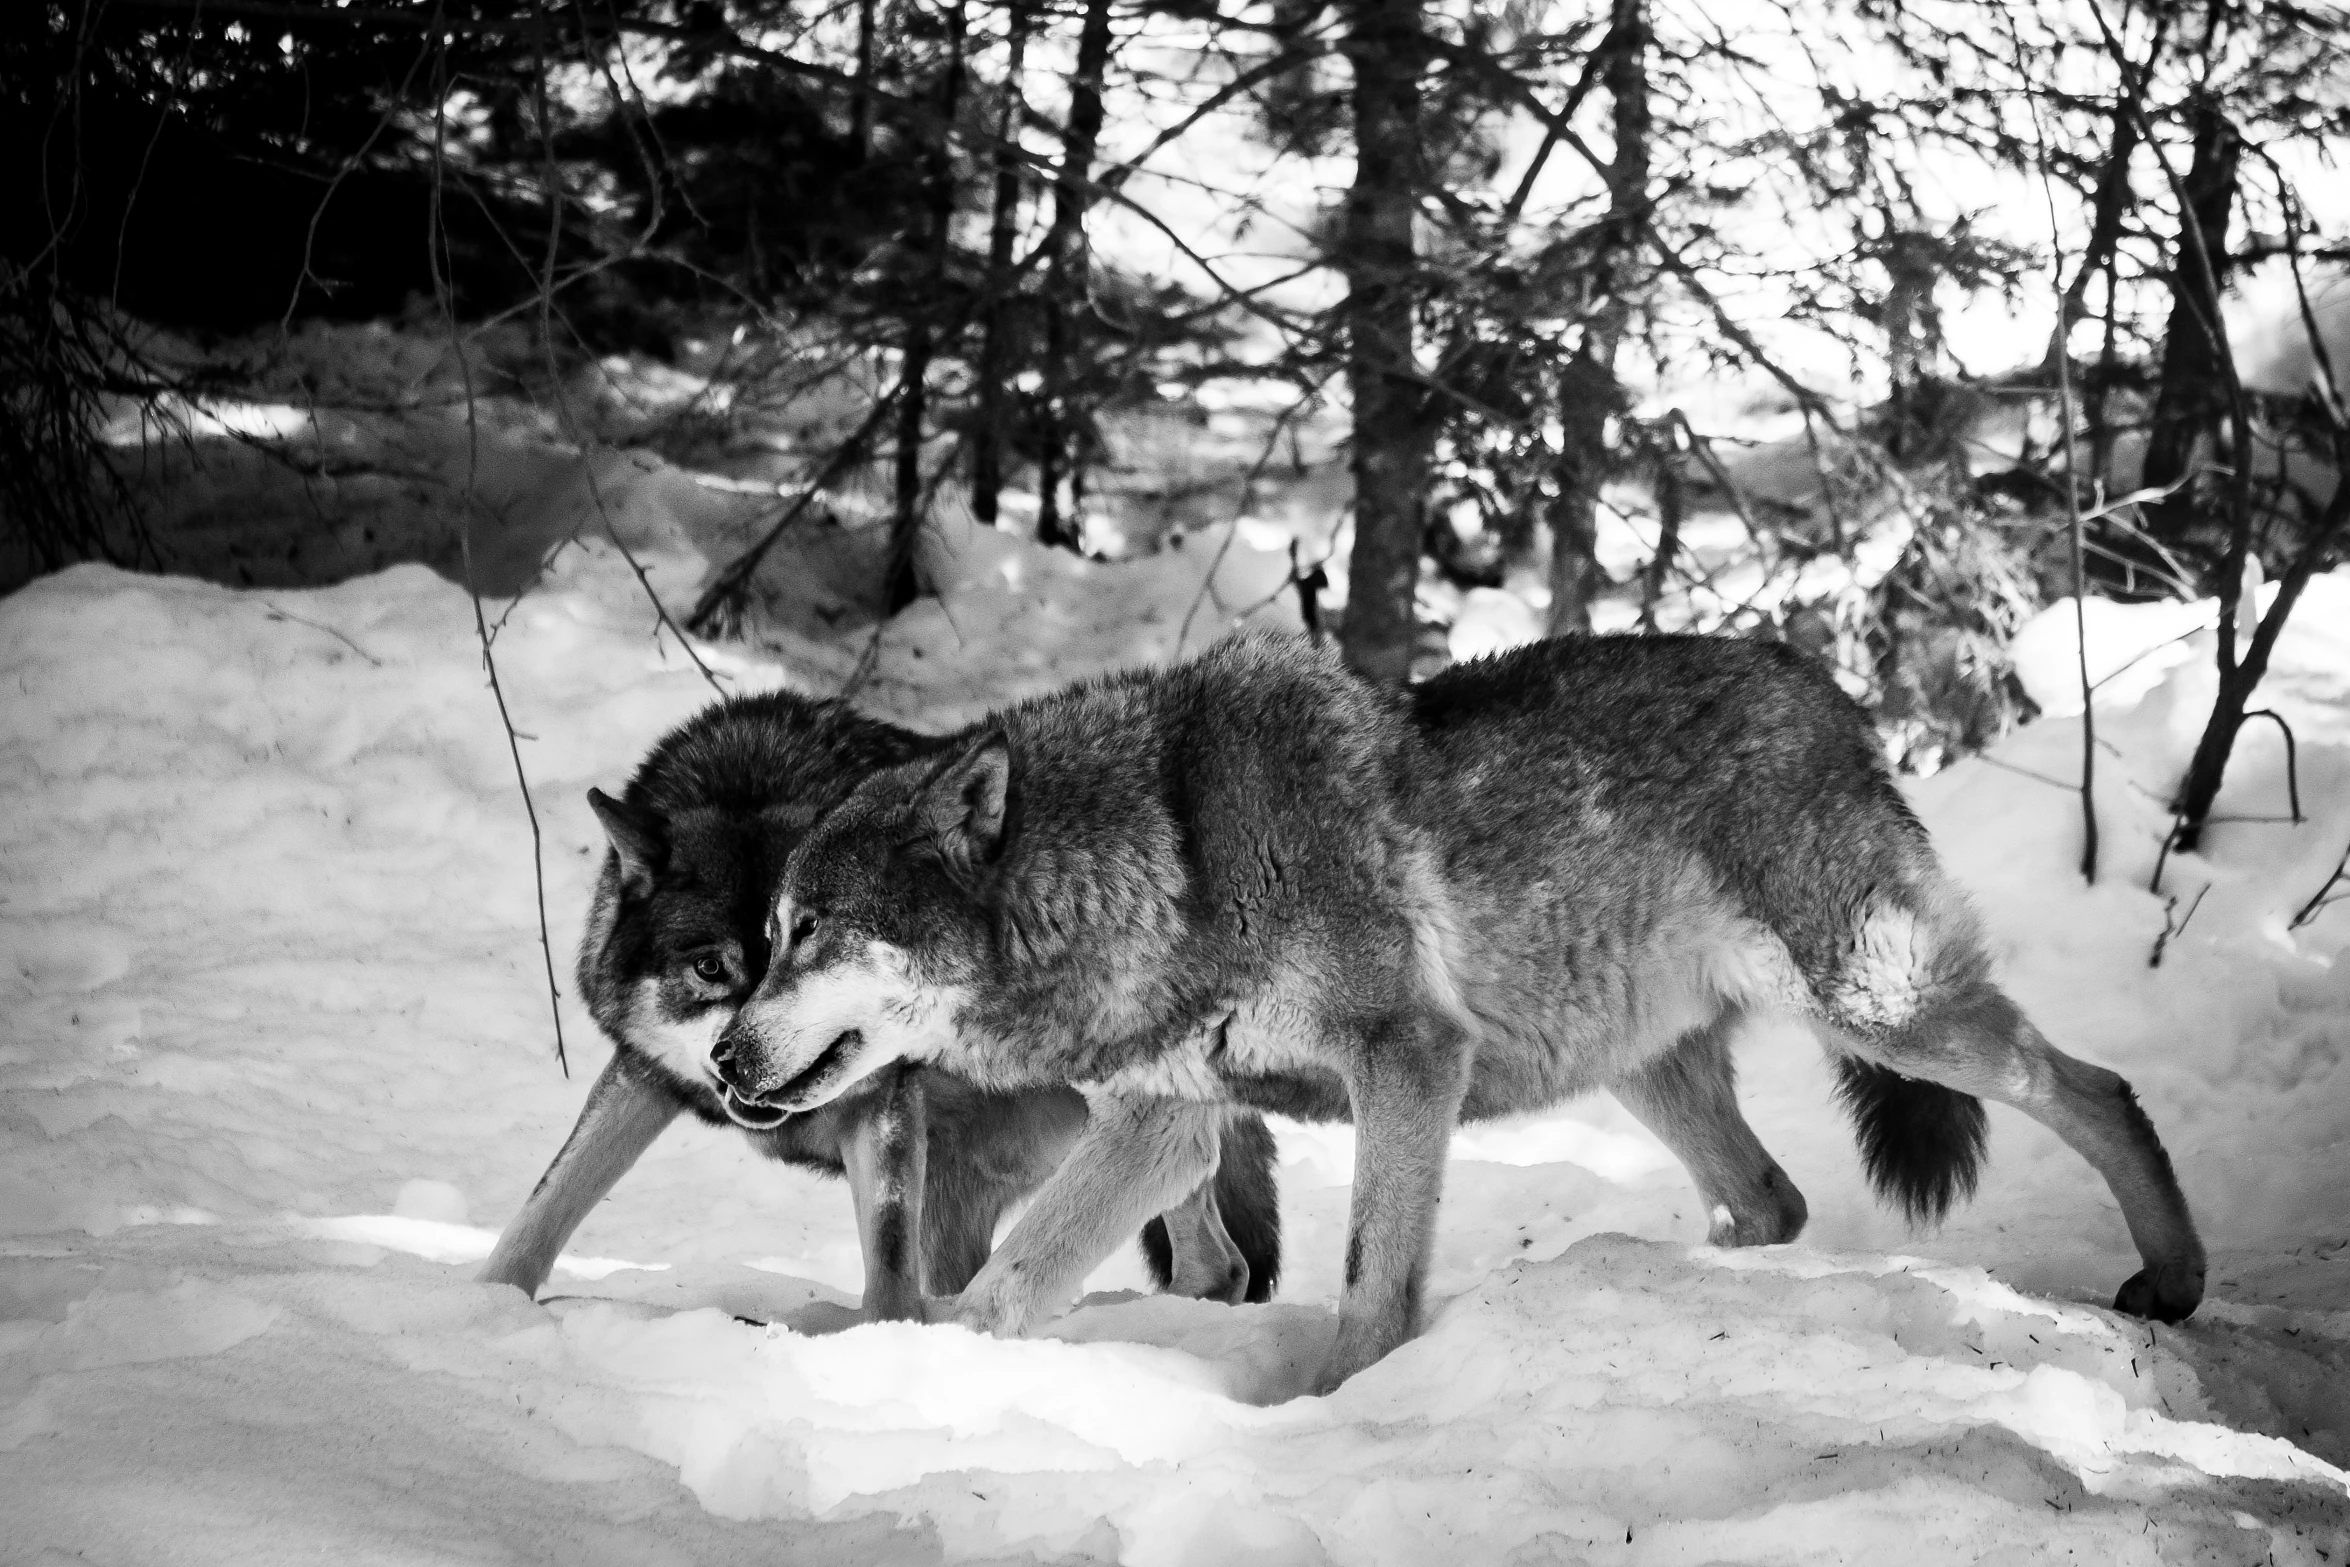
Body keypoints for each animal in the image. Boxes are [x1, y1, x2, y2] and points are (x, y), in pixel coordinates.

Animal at [479, 690, 1287, 1315]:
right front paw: (484, 1307)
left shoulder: (884, 1102)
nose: (739, 1058)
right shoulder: (644, 1073)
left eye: (809, 946)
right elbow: (546, 1205)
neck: (754, 778)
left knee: (1216, 1254)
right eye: (711, 967)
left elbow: (889, 1274)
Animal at [709, 629, 2199, 1390]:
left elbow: (1372, 1280)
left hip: (1874, 1006)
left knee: (2100, 1088)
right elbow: (1009, 1285)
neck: (1174, 848)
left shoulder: (1408, 1060)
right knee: (1772, 1198)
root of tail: (1824, 684)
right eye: (766, 936)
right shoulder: (1169, 1122)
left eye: (813, 933)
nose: (721, 1055)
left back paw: (2173, 1282)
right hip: (1643, 1064)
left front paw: (1332, 1408)